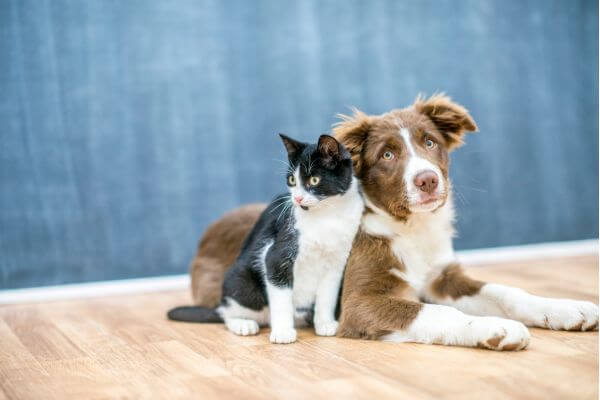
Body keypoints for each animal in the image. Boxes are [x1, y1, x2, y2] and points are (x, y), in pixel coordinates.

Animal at [169, 134, 366, 344]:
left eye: (314, 180)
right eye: (292, 180)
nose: (297, 199)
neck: (327, 215)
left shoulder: (336, 263)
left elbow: (327, 296)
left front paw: (325, 324)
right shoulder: (275, 256)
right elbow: (281, 298)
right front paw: (283, 332)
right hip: (242, 282)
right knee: (227, 312)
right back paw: (243, 324)